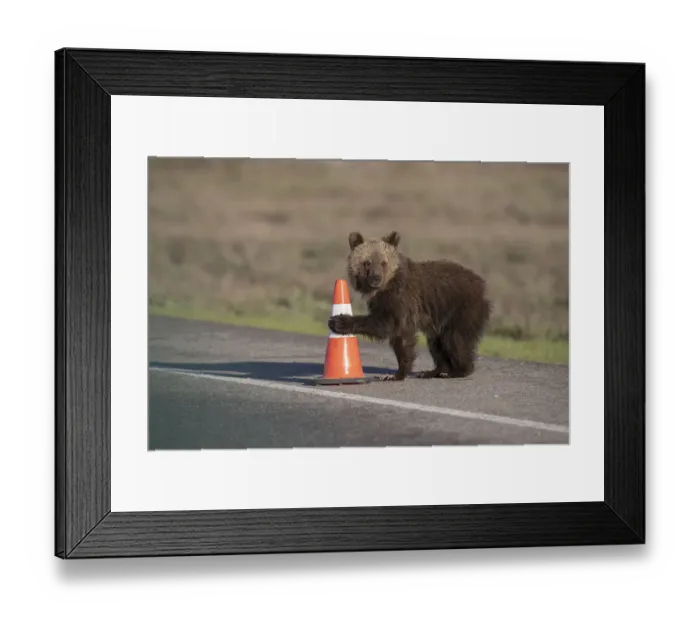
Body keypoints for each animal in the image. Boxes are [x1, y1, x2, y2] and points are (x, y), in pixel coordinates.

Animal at [327, 230, 492, 382]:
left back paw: (458, 371)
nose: (376, 278)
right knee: (436, 342)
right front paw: (398, 372)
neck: (385, 287)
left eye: (383, 262)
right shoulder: (387, 303)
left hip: (462, 308)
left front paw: (338, 322)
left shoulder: (401, 299)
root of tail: (482, 285)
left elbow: (386, 325)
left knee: (455, 339)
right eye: (367, 262)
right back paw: (431, 371)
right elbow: (400, 337)